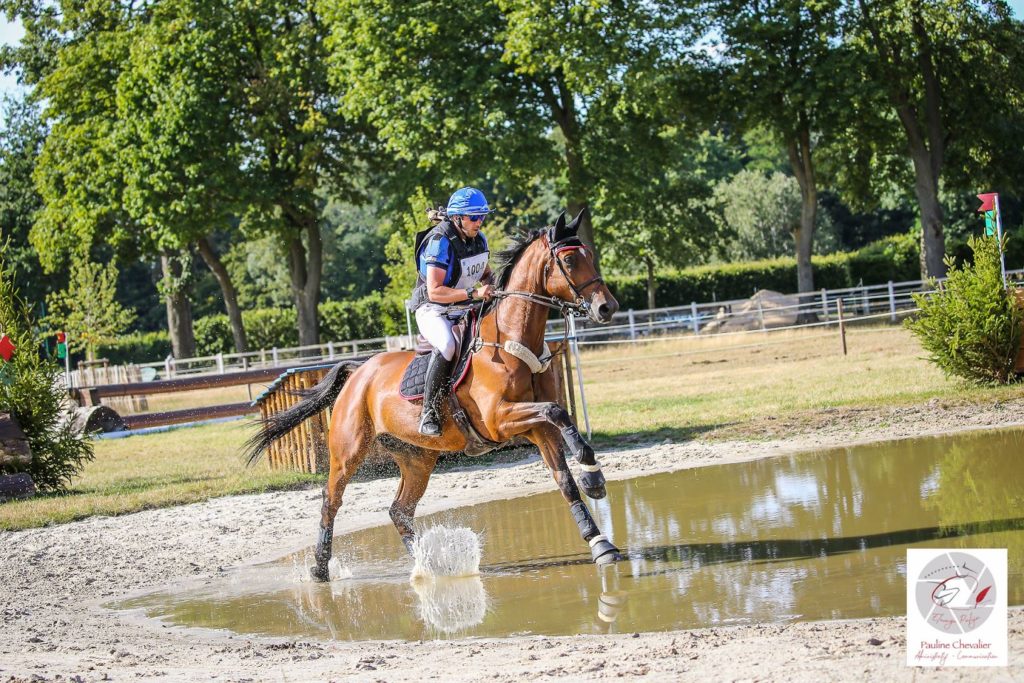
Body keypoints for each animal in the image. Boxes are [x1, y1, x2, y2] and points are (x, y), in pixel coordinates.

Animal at [245, 209, 622, 581]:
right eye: (570, 260)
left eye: (589, 255)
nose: (608, 308)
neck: (512, 341)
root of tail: (359, 370)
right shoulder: (500, 419)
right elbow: (557, 411)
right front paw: (592, 474)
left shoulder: (537, 428)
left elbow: (564, 475)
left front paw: (600, 538)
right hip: (348, 451)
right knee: (331, 499)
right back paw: (320, 568)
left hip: (417, 457)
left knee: (400, 510)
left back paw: (428, 563)